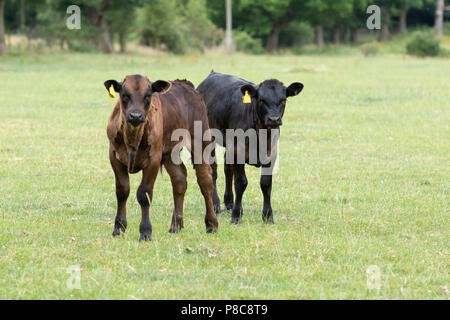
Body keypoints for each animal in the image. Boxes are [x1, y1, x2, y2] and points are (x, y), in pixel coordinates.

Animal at [104, 74, 219, 240]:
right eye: (124, 95)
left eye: (148, 95)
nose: (136, 116)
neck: (133, 138)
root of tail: (185, 84)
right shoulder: (114, 156)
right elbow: (122, 191)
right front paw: (119, 228)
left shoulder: (153, 159)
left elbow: (144, 194)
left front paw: (145, 231)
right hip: (170, 153)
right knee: (179, 180)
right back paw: (176, 225)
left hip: (200, 142)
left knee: (205, 181)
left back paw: (211, 224)